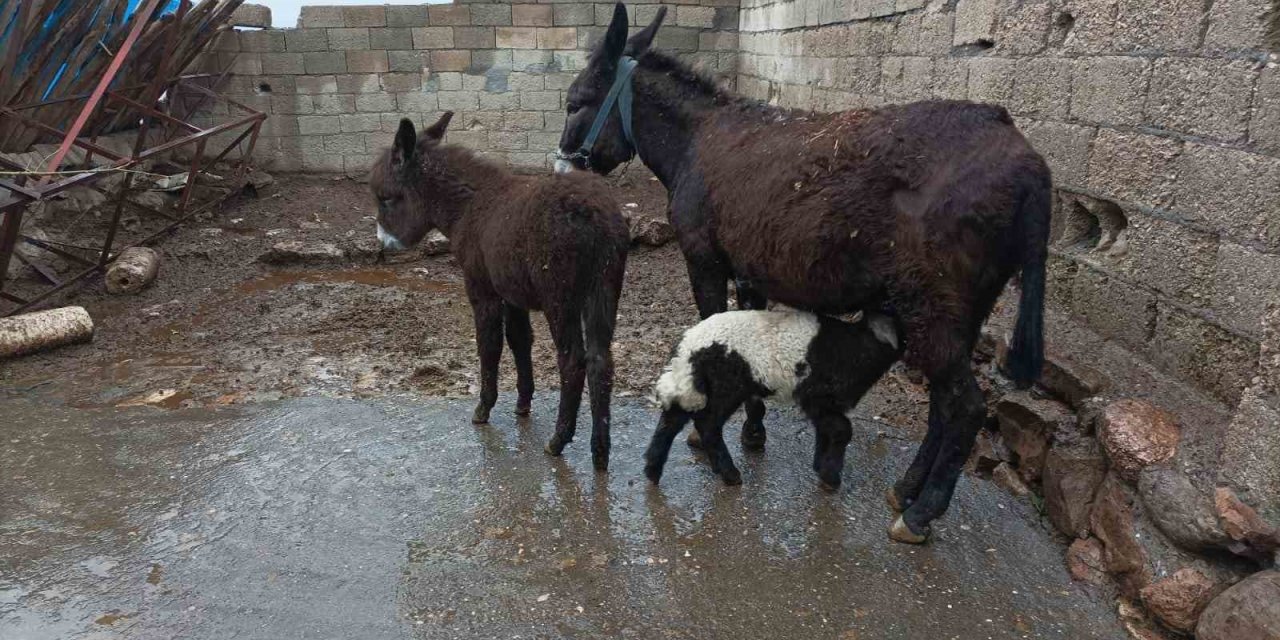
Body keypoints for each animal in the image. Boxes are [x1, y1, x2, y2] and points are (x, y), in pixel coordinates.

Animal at [371, 112, 629, 468]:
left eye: (386, 198)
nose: (382, 246)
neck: (469, 206)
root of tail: (597, 215)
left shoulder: (482, 288)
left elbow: (489, 344)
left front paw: (484, 408)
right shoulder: (512, 294)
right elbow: (520, 341)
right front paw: (523, 403)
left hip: (560, 297)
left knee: (573, 361)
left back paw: (559, 440)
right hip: (604, 288)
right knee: (601, 360)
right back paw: (600, 452)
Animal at [640, 309, 901, 488]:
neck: (861, 347)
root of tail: (687, 350)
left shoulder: (826, 403)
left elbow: (825, 430)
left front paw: (821, 466)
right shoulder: (816, 395)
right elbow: (842, 430)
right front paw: (831, 476)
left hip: (699, 384)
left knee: (672, 418)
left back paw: (653, 470)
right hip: (727, 386)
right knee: (708, 424)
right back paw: (730, 474)